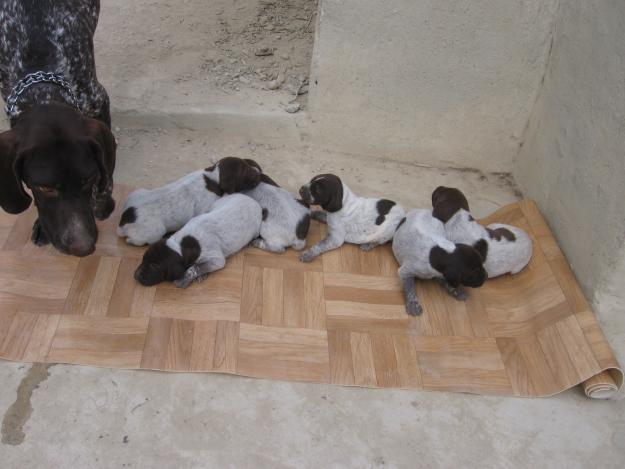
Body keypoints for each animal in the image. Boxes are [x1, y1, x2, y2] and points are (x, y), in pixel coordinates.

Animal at [116, 157, 260, 245]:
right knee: (135, 240)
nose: (259, 175)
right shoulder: (207, 208)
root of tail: (123, 221)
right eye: (246, 172)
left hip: (138, 192)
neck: (213, 177)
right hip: (155, 232)